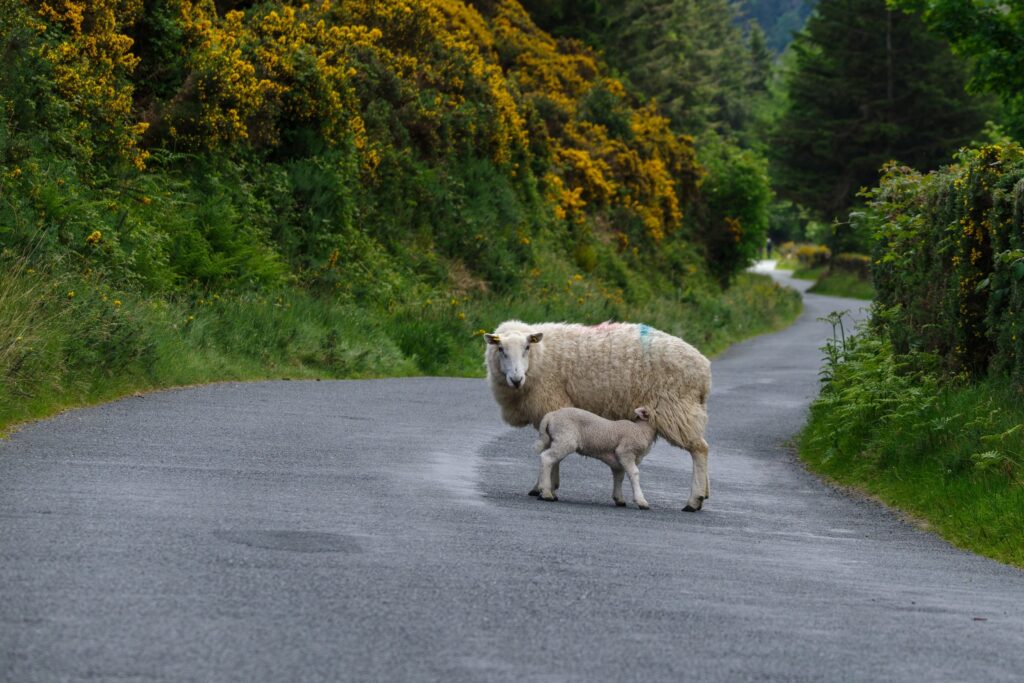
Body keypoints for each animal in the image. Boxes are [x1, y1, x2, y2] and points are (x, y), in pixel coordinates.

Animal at [484, 320, 711, 511]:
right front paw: (544, 486)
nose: (516, 379)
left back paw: (694, 500)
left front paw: (546, 487)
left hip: (676, 407)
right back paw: (705, 493)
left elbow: (551, 454)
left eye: (527, 348)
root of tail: (703, 368)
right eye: (501, 349)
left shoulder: (553, 404)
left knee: (699, 449)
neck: (542, 356)